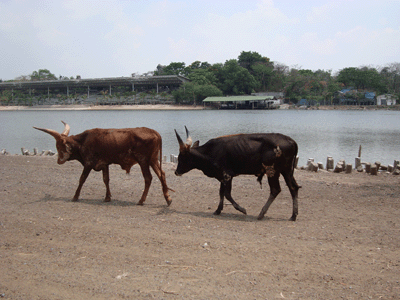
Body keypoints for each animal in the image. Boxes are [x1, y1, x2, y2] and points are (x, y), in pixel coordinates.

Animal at [34, 120, 172, 205]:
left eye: (58, 146)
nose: (59, 161)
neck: (82, 142)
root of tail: (154, 132)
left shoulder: (88, 163)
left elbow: (82, 179)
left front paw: (75, 196)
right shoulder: (105, 164)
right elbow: (106, 179)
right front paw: (107, 197)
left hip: (143, 161)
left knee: (148, 178)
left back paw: (141, 200)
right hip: (153, 160)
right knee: (162, 174)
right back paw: (168, 198)